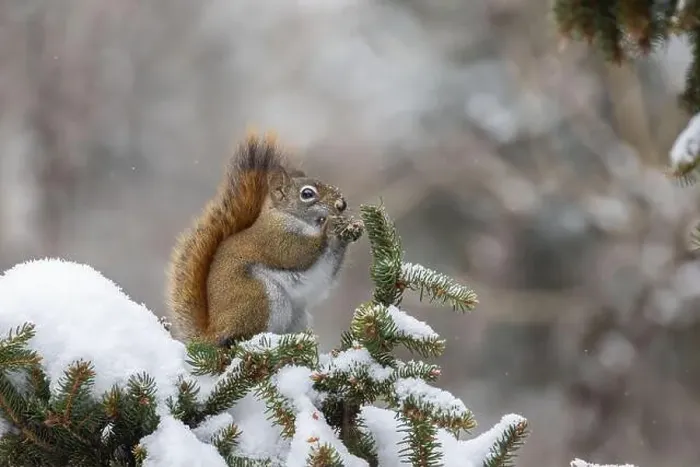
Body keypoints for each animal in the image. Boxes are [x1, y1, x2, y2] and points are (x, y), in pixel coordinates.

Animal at [165, 133, 364, 347]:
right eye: (307, 194)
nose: (342, 204)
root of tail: (213, 332)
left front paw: (353, 227)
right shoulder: (274, 239)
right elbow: (296, 254)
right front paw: (331, 226)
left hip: (298, 316)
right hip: (259, 297)